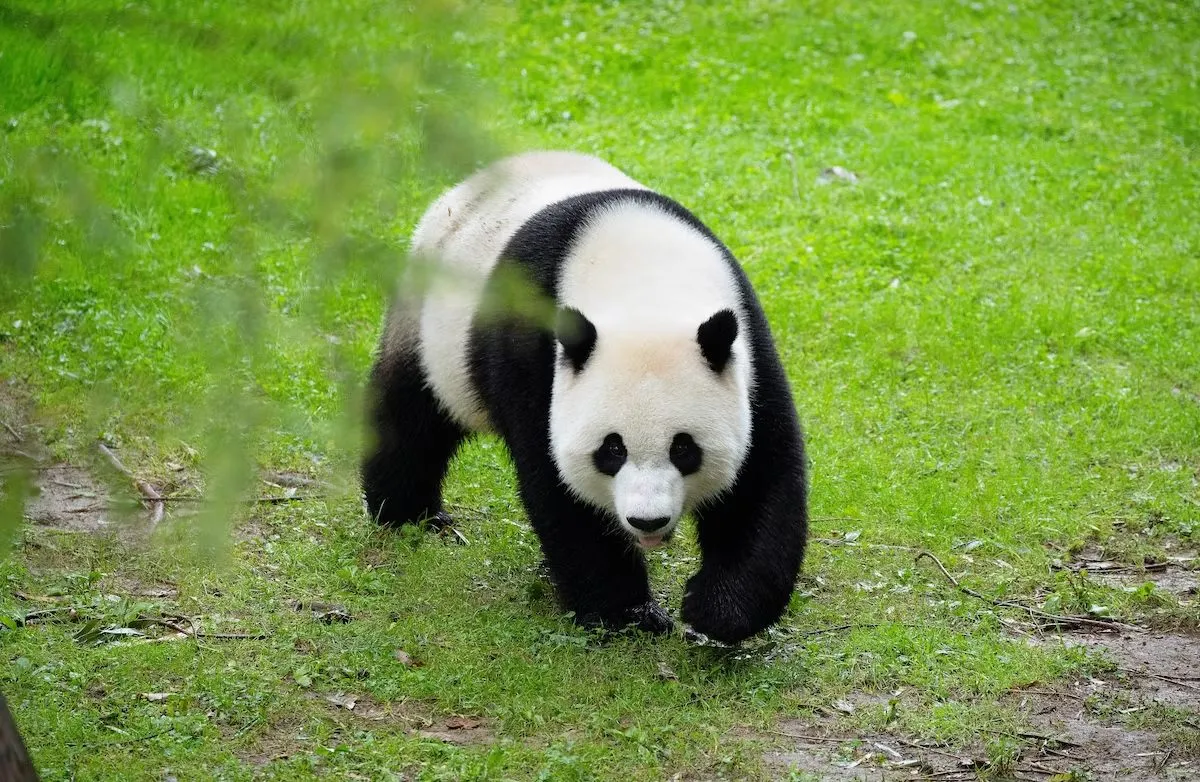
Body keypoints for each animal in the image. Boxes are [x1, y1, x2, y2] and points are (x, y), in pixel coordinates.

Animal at [362, 151, 807, 644]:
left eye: (684, 449)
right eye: (611, 450)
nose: (647, 522)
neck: (645, 283)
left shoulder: (746, 347)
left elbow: (761, 477)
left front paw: (717, 608)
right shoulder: (532, 350)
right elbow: (557, 485)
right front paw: (628, 613)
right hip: (430, 323)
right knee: (413, 414)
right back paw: (409, 513)